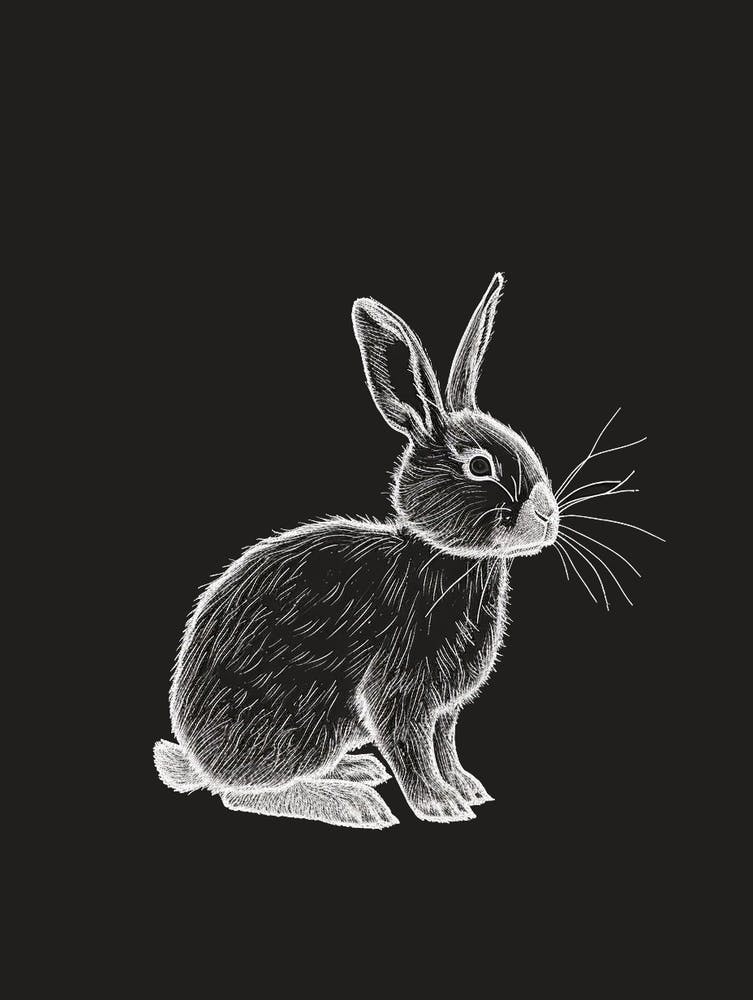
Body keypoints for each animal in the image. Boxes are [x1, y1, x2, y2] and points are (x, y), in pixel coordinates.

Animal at [155, 274, 559, 827]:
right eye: (480, 466)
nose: (548, 515)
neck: (449, 562)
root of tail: (197, 757)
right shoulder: (397, 696)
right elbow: (413, 750)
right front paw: (439, 805)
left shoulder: (444, 710)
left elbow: (445, 745)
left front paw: (467, 789)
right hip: (301, 725)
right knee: (244, 793)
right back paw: (352, 801)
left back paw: (358, 771)